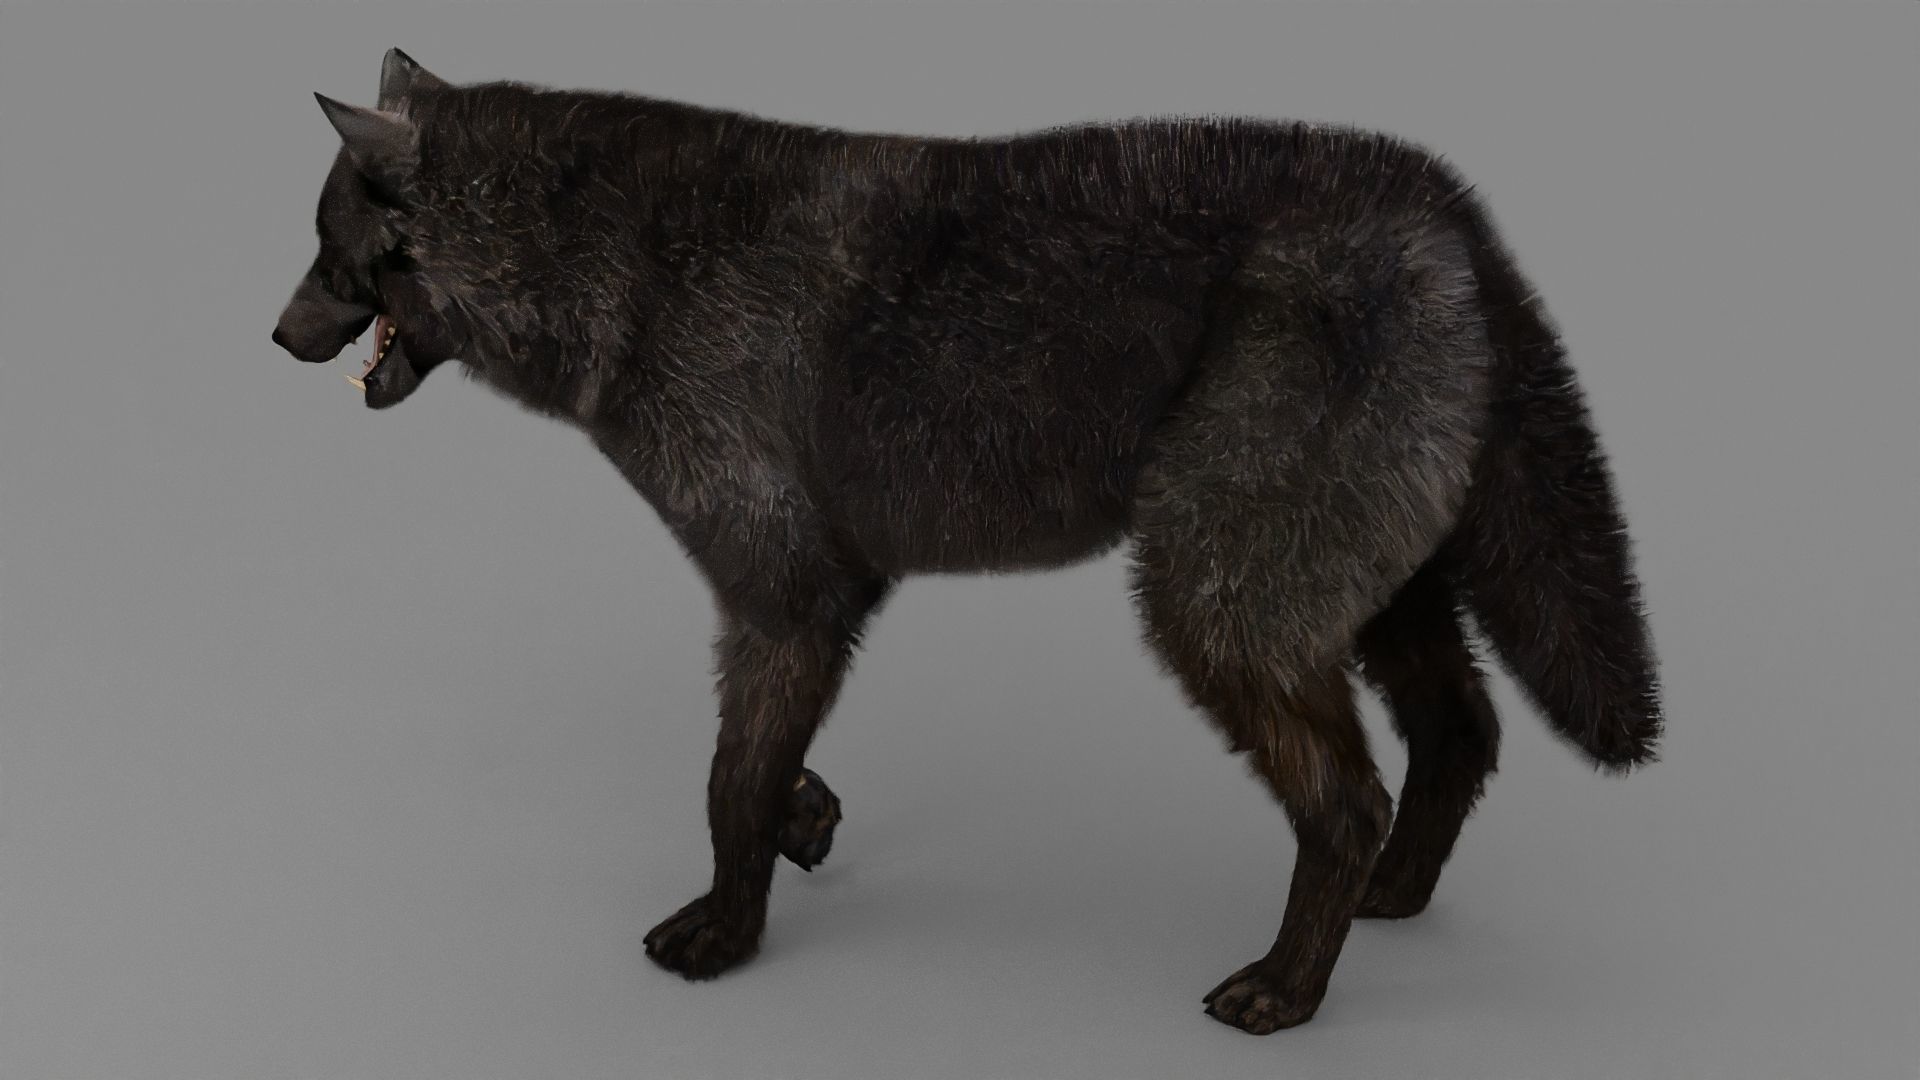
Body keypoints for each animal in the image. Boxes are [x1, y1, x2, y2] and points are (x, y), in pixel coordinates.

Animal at [272, 49, 1661, 1034]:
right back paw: (1392, 903)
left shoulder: (783, 592)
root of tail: (1445, 205)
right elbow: (760, 766)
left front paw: (725, 936)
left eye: (336, 255)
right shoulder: (814, 601)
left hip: (1216, 612)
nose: (276, 336)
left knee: (1351, 797)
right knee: (1461, 734)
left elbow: (725, 782)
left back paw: (1285, 992)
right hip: (1360, 606)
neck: (620, 263)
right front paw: (809, 822)